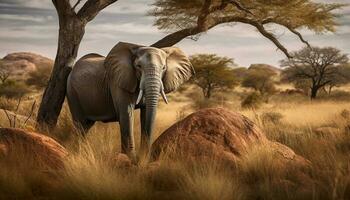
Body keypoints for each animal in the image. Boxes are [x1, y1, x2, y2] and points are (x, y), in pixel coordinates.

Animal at [67, 41, 196, 159]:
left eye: (164, 68)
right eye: (138, 66)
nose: (145, 155)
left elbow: (146, 114)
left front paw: (143, 158)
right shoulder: (118, 81)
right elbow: (126, 113)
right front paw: (130, 158)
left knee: (86, 126)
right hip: (72, 92)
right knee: (80, 125)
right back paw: (81, 155)